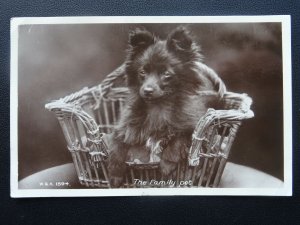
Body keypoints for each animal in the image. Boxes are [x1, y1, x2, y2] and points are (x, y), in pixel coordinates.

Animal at [107, 26, 225, 187]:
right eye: (142, 72)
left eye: (166, 74)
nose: (147, 90)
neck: (159, 105)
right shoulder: (123, 128)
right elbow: (116, 147)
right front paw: (114, 174)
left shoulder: (195, 128)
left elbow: (179, 139)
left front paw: (166, 165)